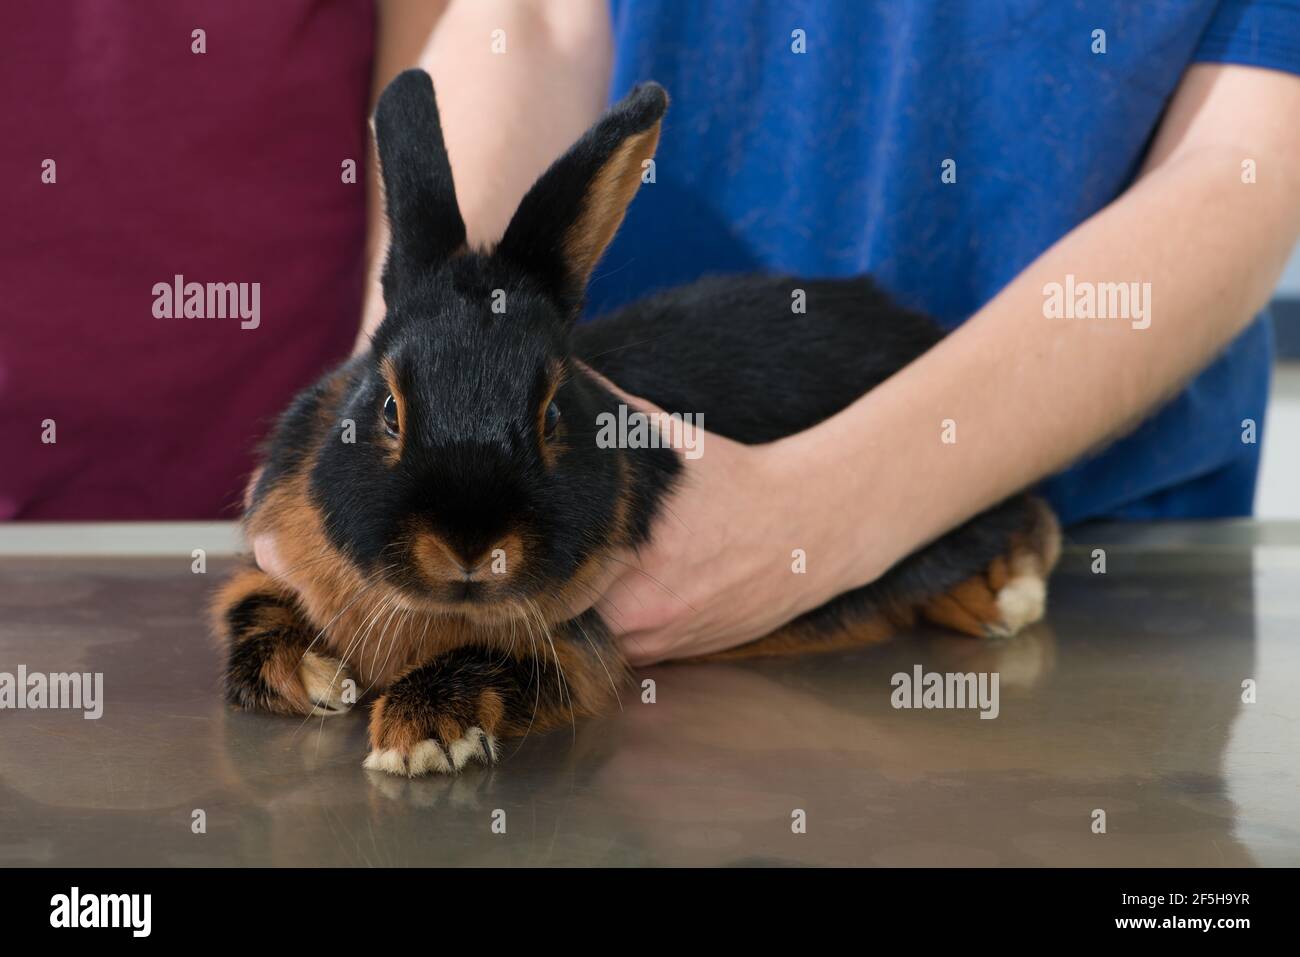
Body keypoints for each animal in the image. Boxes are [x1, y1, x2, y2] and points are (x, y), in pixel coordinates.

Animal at [213, 72, 1060, 780]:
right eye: (388, 407)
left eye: (553, 412)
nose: (468, 547)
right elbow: (249, 608)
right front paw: (321, 678)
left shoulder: (569, 645)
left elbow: (489, 658)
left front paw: (419, 734)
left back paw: (1005, 600)